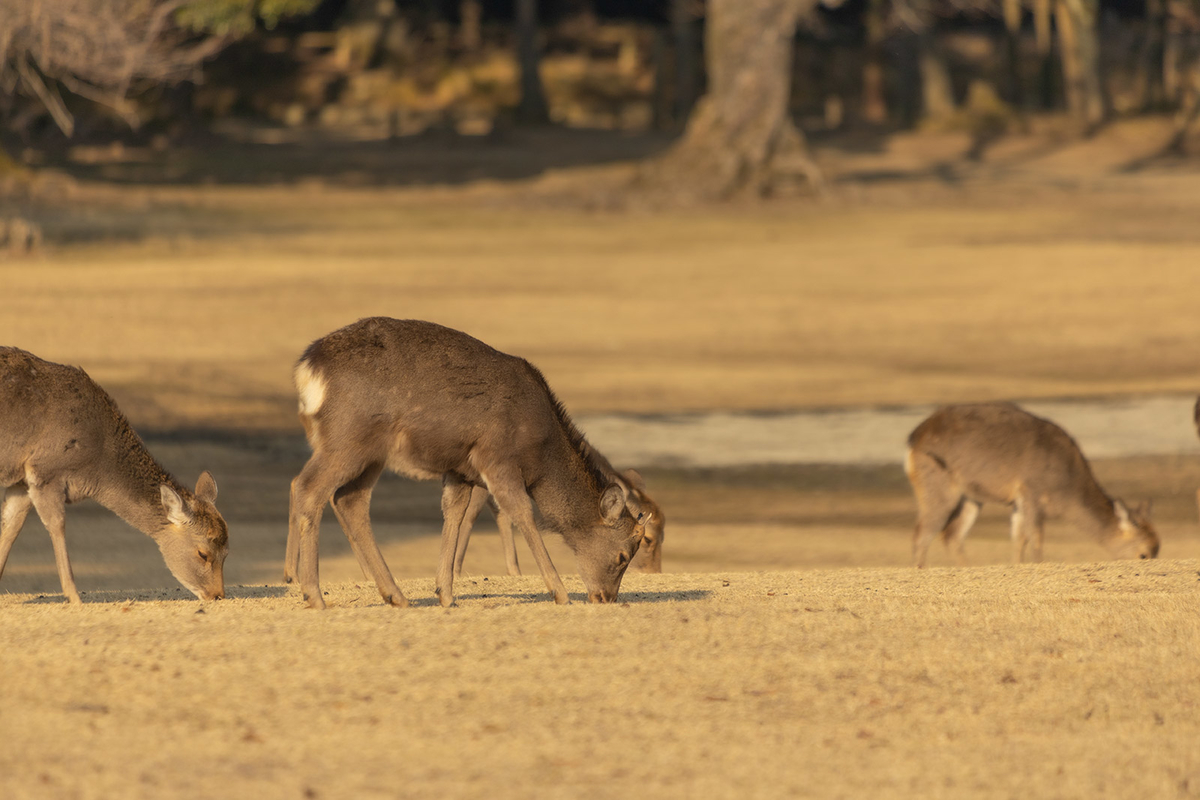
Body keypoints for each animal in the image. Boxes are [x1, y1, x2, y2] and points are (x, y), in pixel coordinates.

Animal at [0, 347, 228, 604]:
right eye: (203, 553)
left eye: (227, 552)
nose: (218, 595)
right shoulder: (45, 471)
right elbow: (57, 524)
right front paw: (75, 597)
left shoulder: (21, 481)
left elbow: (11, 525)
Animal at [451, 465, 667, 578]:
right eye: (647, 539)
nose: (655, 572)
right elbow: (471, 512)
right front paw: (456, 572)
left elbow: (502, 511)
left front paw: (515, 571)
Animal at [902, 400, 1156, 568]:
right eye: (1144, 554)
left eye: (1157, 549)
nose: (1149, 560)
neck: (1067, 490)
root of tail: (913, 438)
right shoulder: (1031, 492)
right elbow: (1036, 537)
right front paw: (1038, 564)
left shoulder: (1017, 501)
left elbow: (1019, 538)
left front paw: (1017, 566)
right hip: (938, 488)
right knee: (922, 533)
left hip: (971, 497)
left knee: (951, 535)